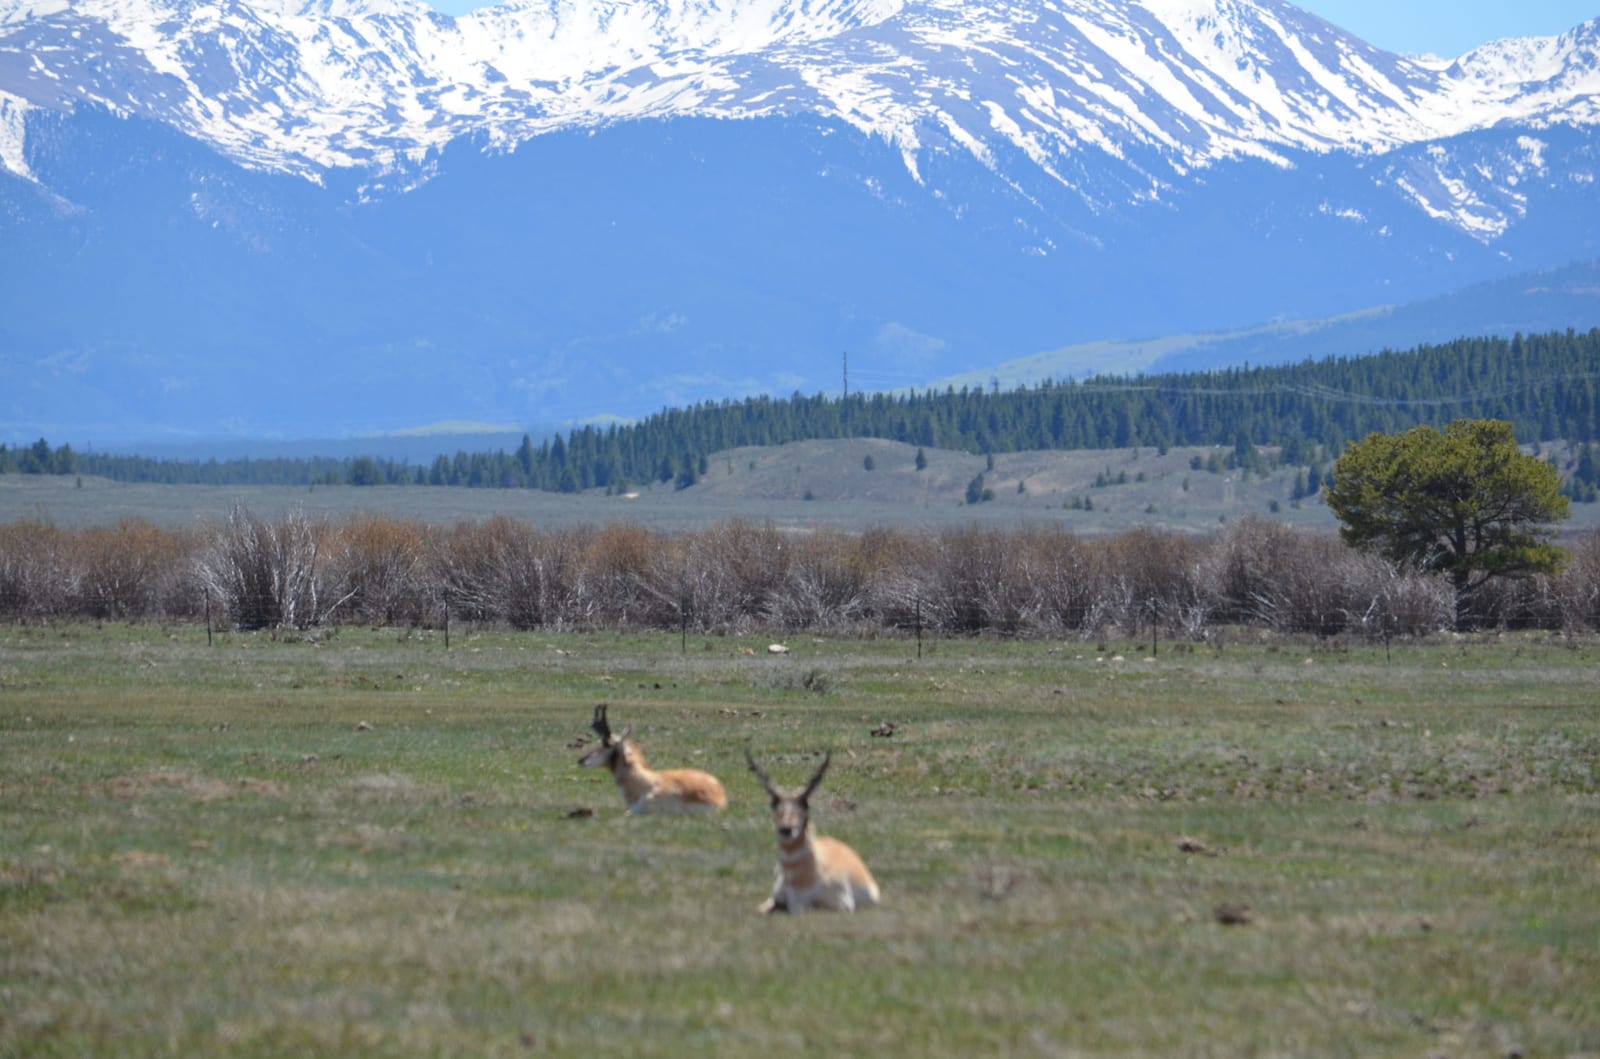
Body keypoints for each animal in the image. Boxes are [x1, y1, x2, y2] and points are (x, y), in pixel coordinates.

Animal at [746, 747, 880, 913]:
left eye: (805, 807)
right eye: (776, 807)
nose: (786, 829)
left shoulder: (841, 905)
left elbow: (807, 906)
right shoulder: (773, 897)